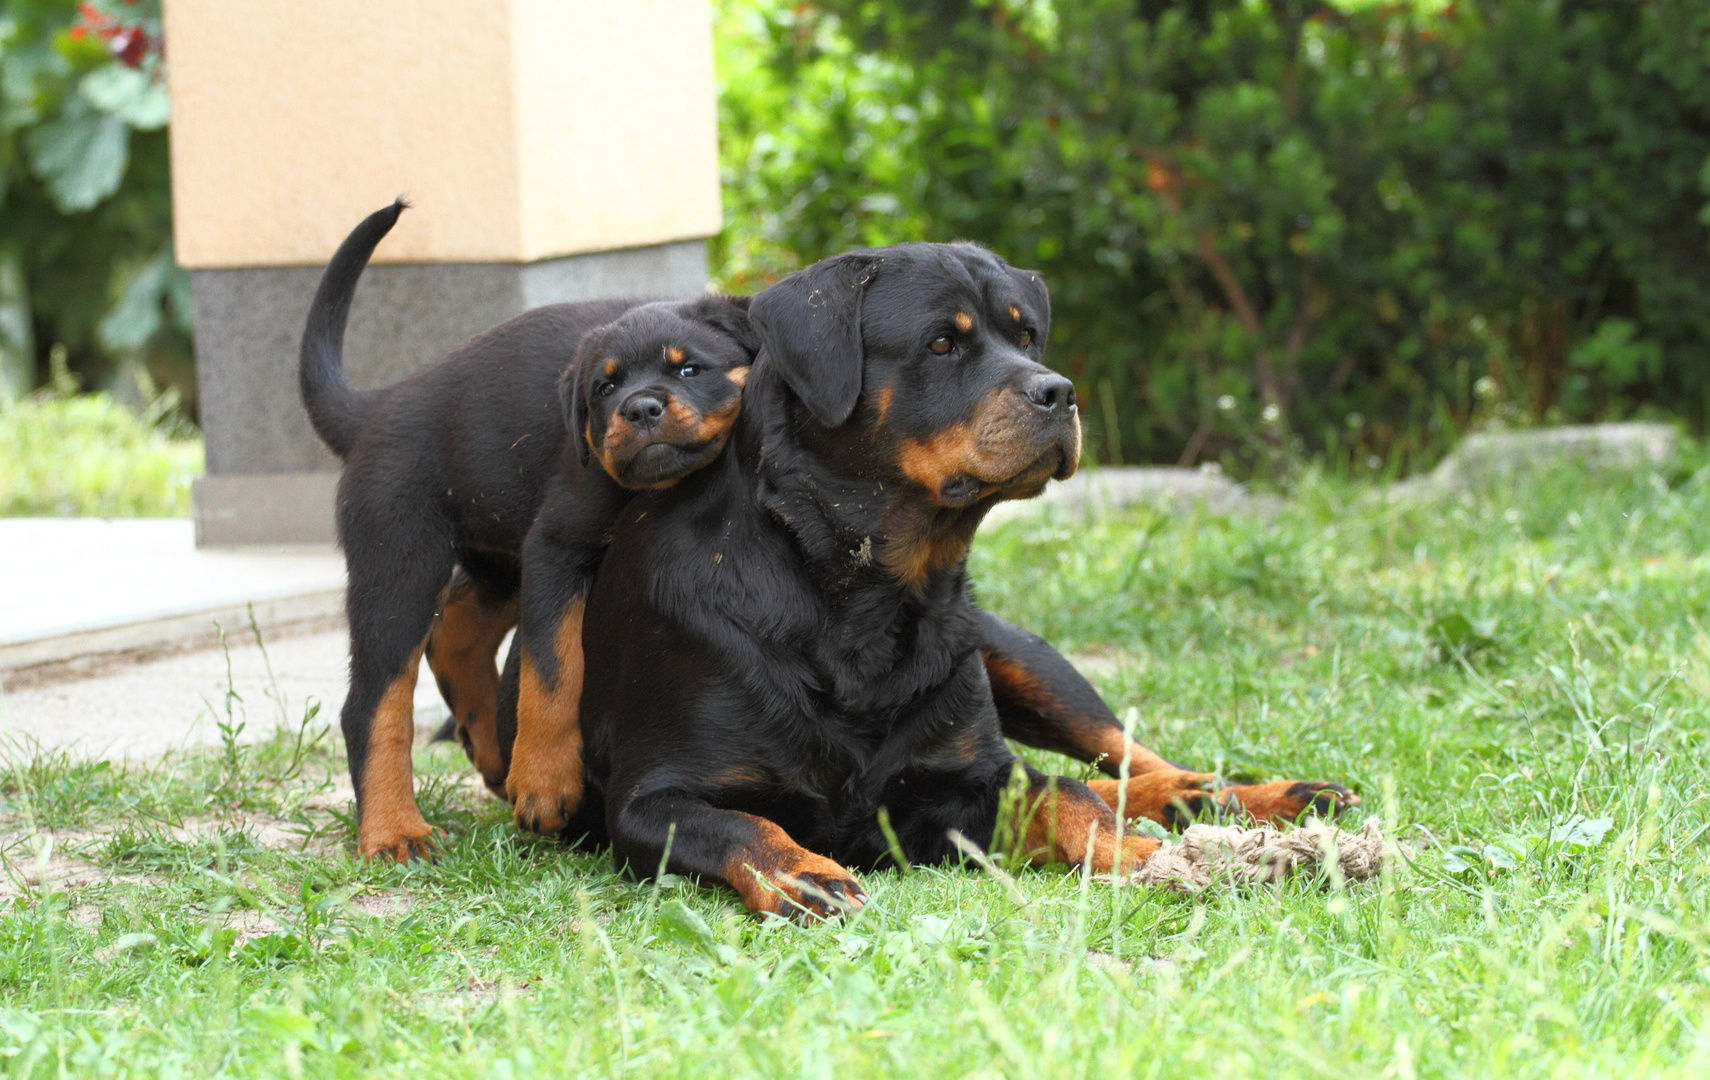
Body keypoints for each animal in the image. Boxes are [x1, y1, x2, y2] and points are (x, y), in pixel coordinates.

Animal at [300, 202, 755, 861]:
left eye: (690, 368)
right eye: (604, 387)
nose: (640, 408)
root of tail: (378, 408)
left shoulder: (540, 555)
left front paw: (529, 772)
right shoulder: (559, 544)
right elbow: (553, 665)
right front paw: (545, 780)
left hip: (497, 555)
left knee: (456, 629)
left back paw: (491, 753)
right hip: (400, 562)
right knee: (374, 704)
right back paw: (394, 831)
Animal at [540, 244, 1354, 922]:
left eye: (1026, 337)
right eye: (941, 343)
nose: (1060, 392)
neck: (862, 591)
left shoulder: (963, 782)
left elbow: (1067, 793)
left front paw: (1151, 854)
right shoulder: (650, 802)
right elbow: (740, 822)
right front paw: (803, 869)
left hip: (1020, 655)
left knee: (1123, 755)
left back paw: (1244, 794)